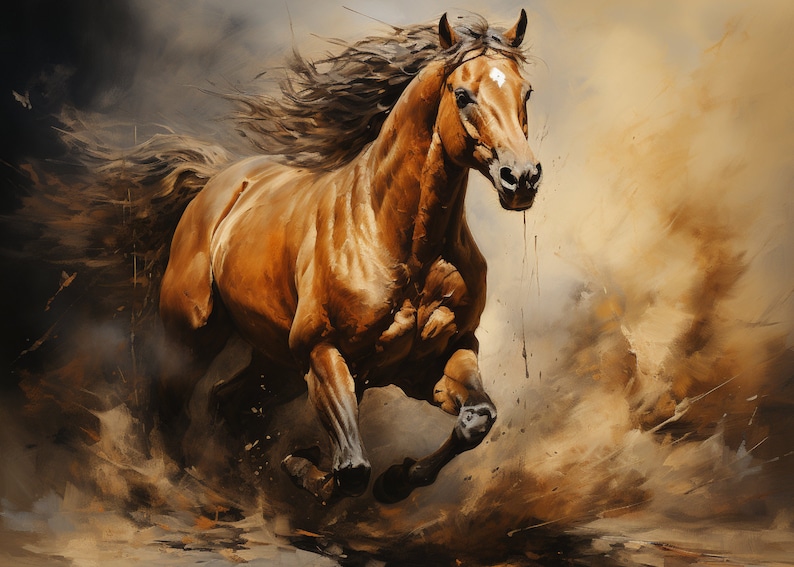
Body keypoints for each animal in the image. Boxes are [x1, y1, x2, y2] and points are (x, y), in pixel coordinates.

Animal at [158, 10, 542, 503]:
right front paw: (303, 463)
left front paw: (396, 480)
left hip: (274, 366)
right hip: (191, 336)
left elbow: (477, 419)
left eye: (525, 92)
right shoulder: (322, 352)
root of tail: (219, 182)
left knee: (227, 402)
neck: (404, 248)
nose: (522, 178)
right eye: (462, 95)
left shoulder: (439, 356)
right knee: (170, 404)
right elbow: (353, 468)